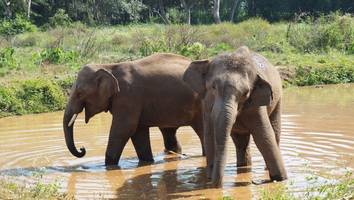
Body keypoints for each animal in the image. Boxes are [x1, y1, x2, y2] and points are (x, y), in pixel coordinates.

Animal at [62, 52, 203, 166]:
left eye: (80, 93)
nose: (82, 149)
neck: (108, 66)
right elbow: (138, 132)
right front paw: (147, 162)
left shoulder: (128, 96)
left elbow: (124, 129)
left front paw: (108, 167)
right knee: (168, 132)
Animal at [183, 46, 288, 187]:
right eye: (213, 87)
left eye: (245, 93)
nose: (216, 184)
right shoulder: (206, 104)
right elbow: (209, 135)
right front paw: (209, 178)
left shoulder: (256, 105)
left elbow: (263, 136)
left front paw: (281, 179)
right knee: (240, 142)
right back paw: (242, 166)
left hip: (278, 100)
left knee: (274, 131)